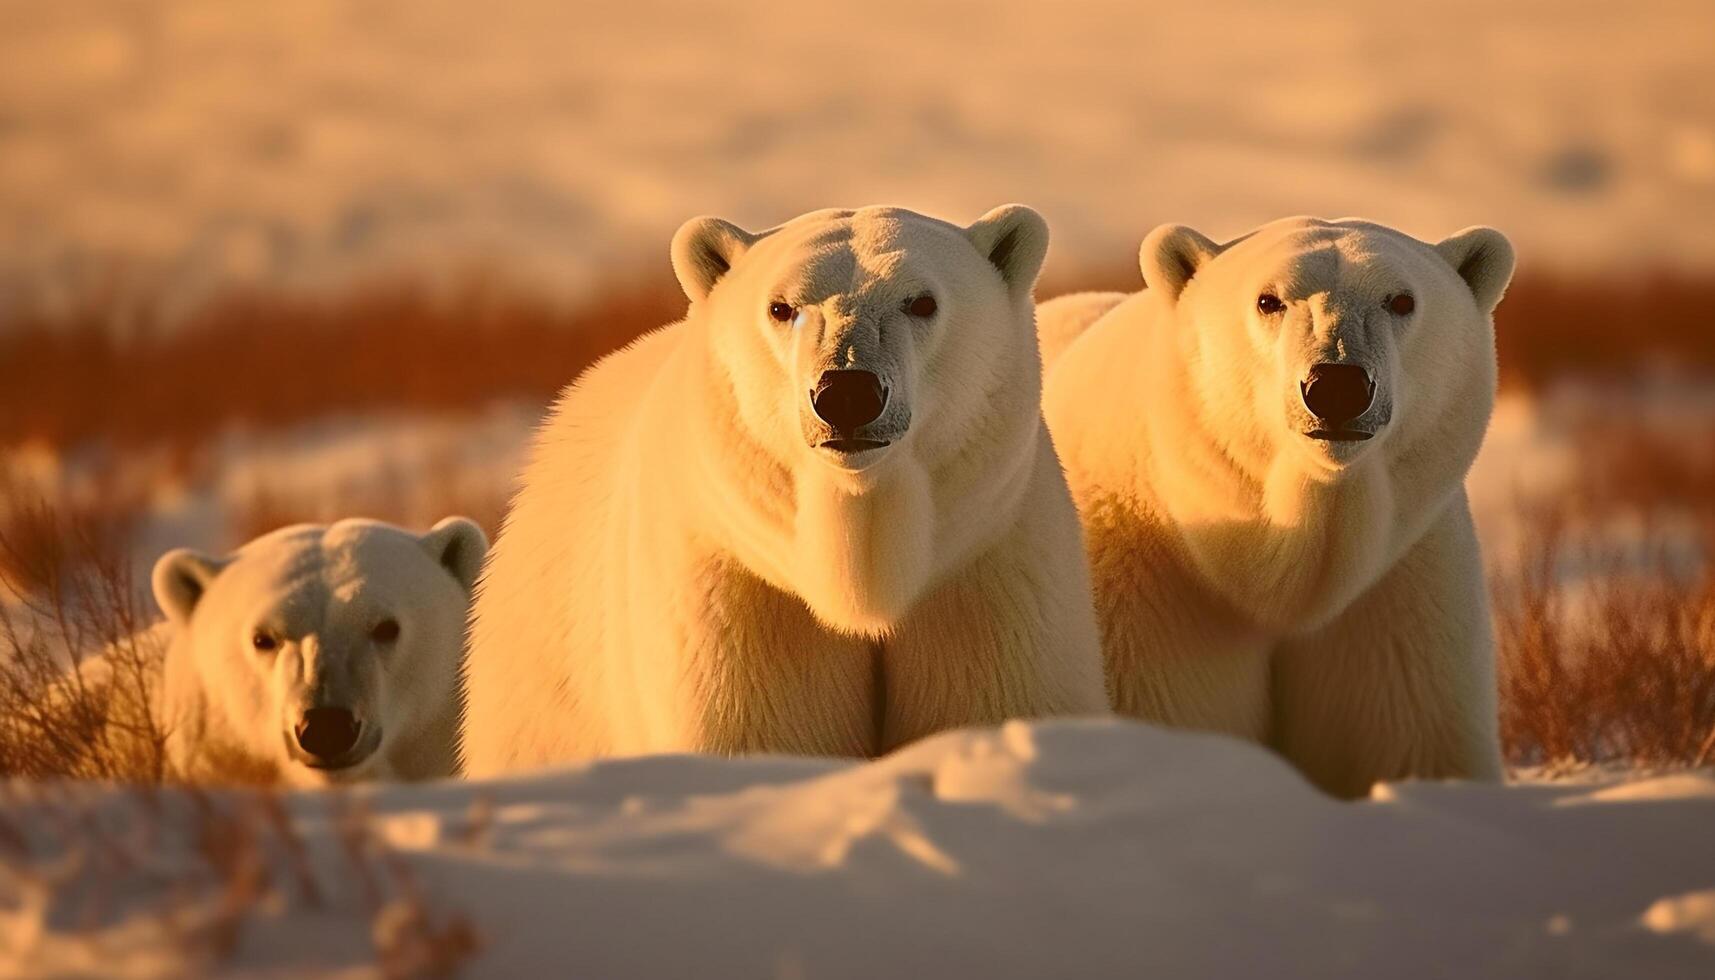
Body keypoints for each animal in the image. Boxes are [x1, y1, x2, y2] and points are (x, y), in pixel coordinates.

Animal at [1042, 214, 1516, 796]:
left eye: (1402, 300)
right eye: (1269, 300)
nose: (1337, 385)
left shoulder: (1399, 592)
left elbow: (1408, 737)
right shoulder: (1146, 594)